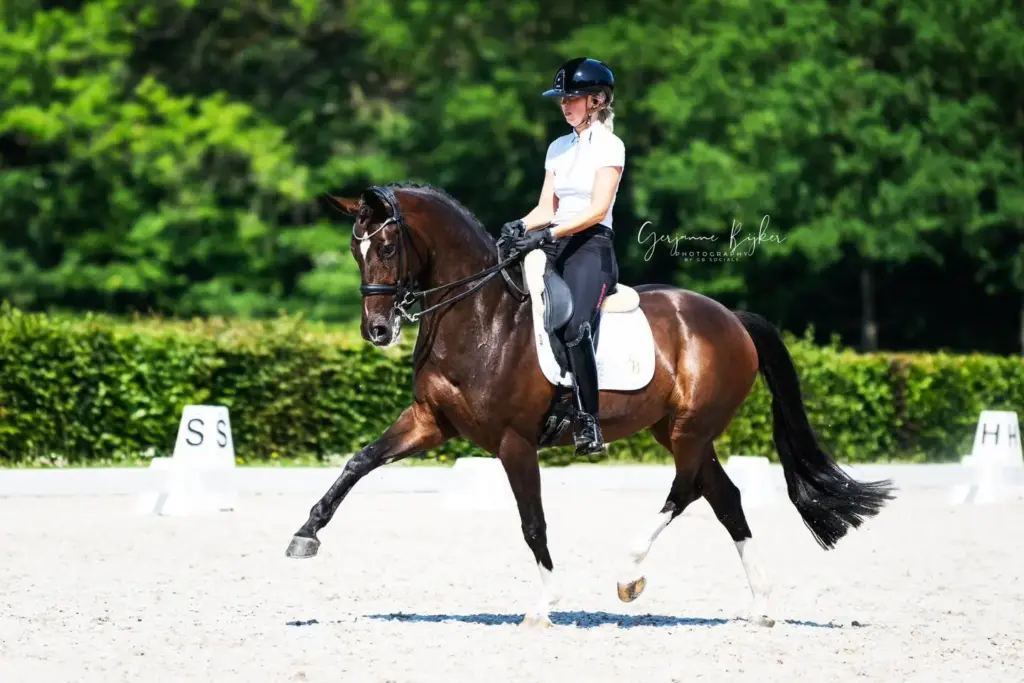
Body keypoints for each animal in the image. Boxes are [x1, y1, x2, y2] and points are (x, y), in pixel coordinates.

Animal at [282, 181, 897, 630]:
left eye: (387, 247)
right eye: (354, 250)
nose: (377, 331)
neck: (480, 316)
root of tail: (732, 319)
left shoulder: (514, 442)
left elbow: (533, 522)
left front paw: (544, 605)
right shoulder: (429, 423)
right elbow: (360, 460)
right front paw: (306, 533)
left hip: (689, 430)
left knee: (687, 490)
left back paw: (629, 575)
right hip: (675, 430)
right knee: (725, 497)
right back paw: (762, 608)